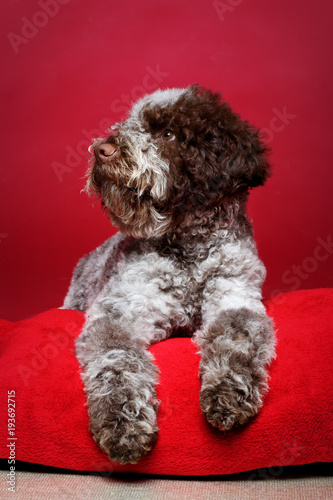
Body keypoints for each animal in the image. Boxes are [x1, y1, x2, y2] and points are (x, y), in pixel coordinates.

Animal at [63, 85, 274, 464]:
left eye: (169, 135)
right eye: (132, 122)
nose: (101, 150)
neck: (188, 250)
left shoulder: (236, 297)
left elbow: (236, 339)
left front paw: (229, 391)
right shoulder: (120, 312)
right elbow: (116, 360)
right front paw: (122, 421)